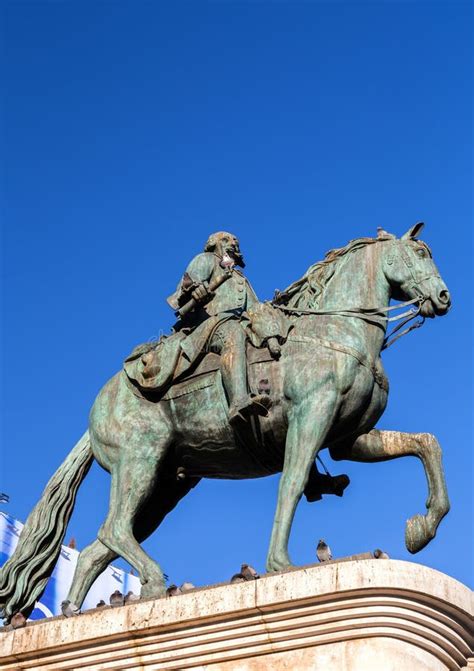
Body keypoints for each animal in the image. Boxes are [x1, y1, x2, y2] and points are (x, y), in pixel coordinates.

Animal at [0, 223, 452, 624]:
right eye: (420, 253)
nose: (443, 297)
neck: (336, 327)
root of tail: (101, 403)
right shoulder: (311, 416)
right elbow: (291, 484)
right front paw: (280, 564)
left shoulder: (349, 438)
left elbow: (426, 443)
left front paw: (421, 528)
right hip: (139, 461)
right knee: (112, 529)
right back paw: (151, 582)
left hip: (165, 485)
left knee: (100, 546)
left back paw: (69, 615)